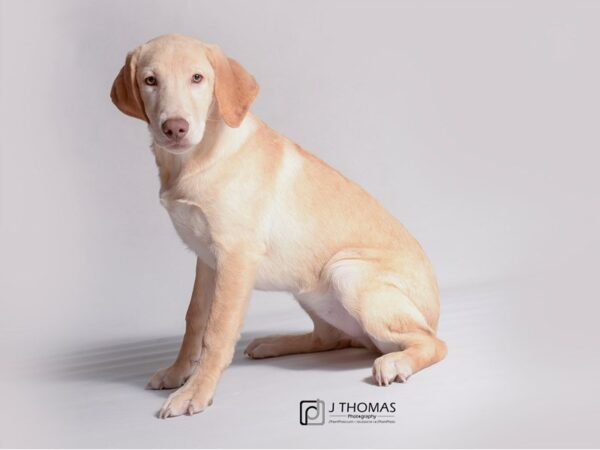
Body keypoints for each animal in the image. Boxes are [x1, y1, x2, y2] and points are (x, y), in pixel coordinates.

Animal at [110, 34, 448, 418]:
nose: (175, 127)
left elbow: (217, 331)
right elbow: (194, 318)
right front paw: (178, 372)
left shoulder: (235, 258)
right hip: (308, 285)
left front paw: (196, 390)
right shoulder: (207, 260)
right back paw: (276, 343)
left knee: (432, 342)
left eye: (198, 78)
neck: (196, 158)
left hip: (346, 272)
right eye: (150, 81)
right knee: (330, 337)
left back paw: (397, 362)